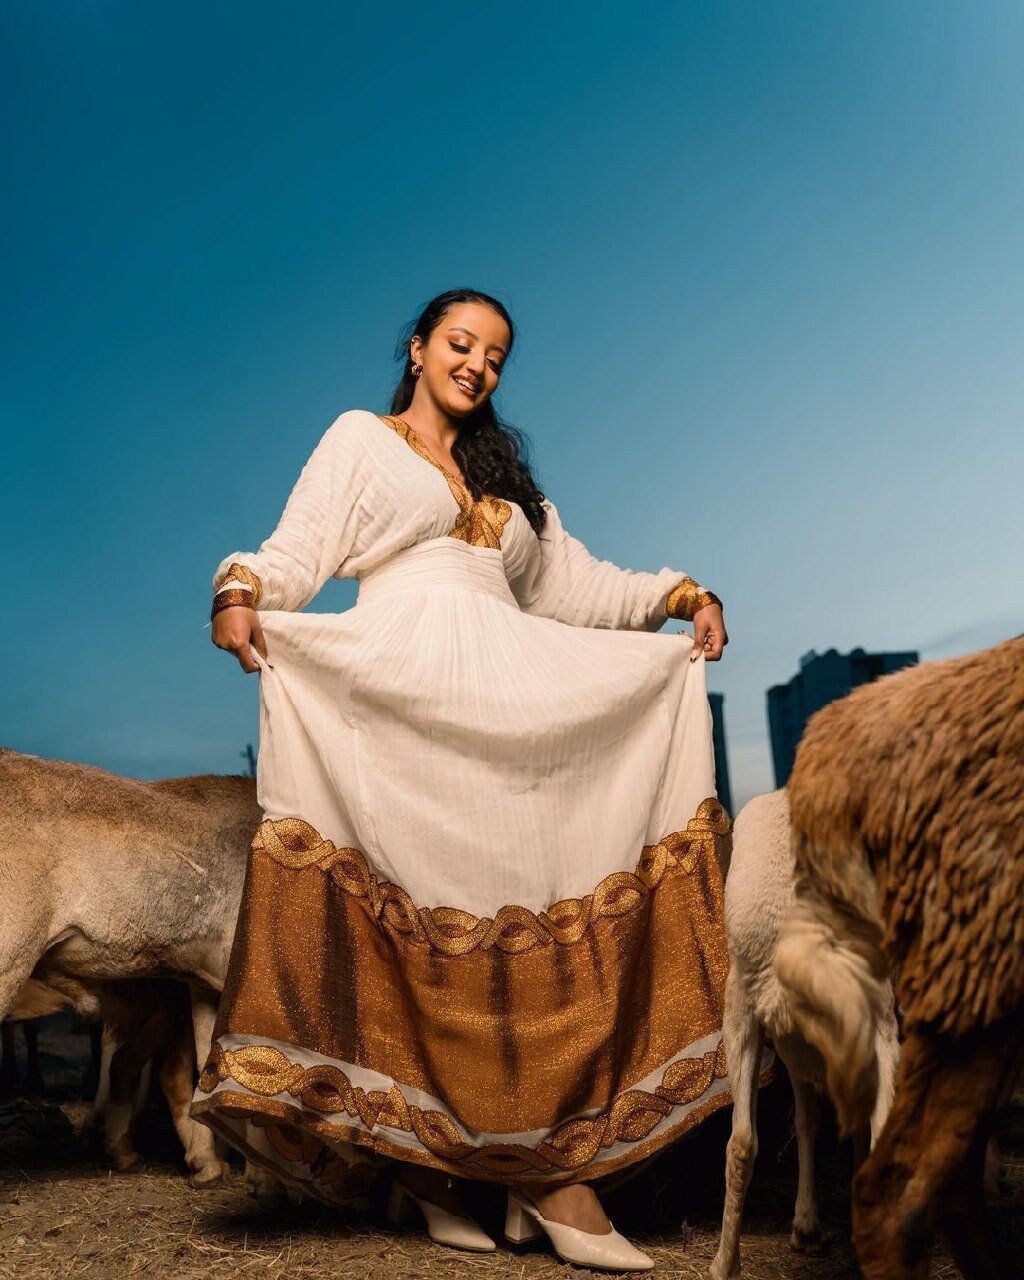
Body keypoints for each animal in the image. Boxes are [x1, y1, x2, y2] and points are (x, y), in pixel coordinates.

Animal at [706, 788, 901, 1280]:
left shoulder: (783, 1042)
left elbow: (799, 1125)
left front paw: (804, 1227)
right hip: (876, 1014)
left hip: (750, 1008)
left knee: (746, 1142)